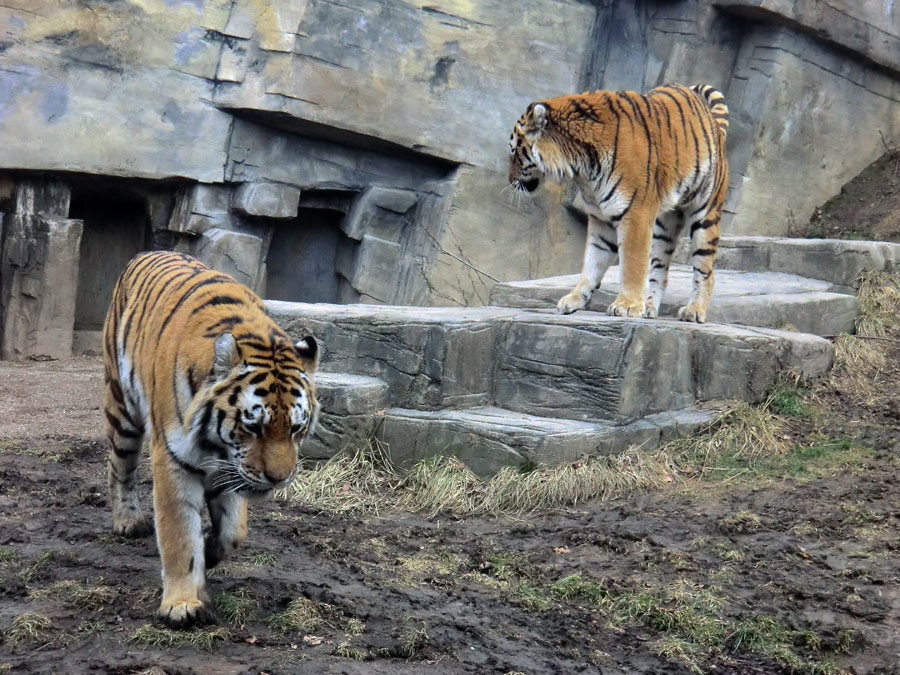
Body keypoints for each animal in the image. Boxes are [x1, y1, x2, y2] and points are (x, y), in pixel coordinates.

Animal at [101, 252, 320, 628]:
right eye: (254, 427)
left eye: (295, 428)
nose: (278, 479)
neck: (218, 444)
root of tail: (145, 253)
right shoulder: (172, 460)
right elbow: (179, 535)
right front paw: (183, 605)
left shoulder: (232, 469)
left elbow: (234, 531)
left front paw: (210, 547)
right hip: (122, 406)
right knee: (120, 467)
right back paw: (128, 521)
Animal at [510, 82, 728, 324]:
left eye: (514, 152)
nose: (510, 181)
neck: (583, 169)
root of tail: (713, 123)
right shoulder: (601, 219)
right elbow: (592, 262)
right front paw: (574, 298)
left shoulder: (636, 214)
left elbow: (632, 264)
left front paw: (627, 305)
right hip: (663, 226)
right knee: (660, 272)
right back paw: (649, 307)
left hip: (705, 216)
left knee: (705, 271)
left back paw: (693, 310)